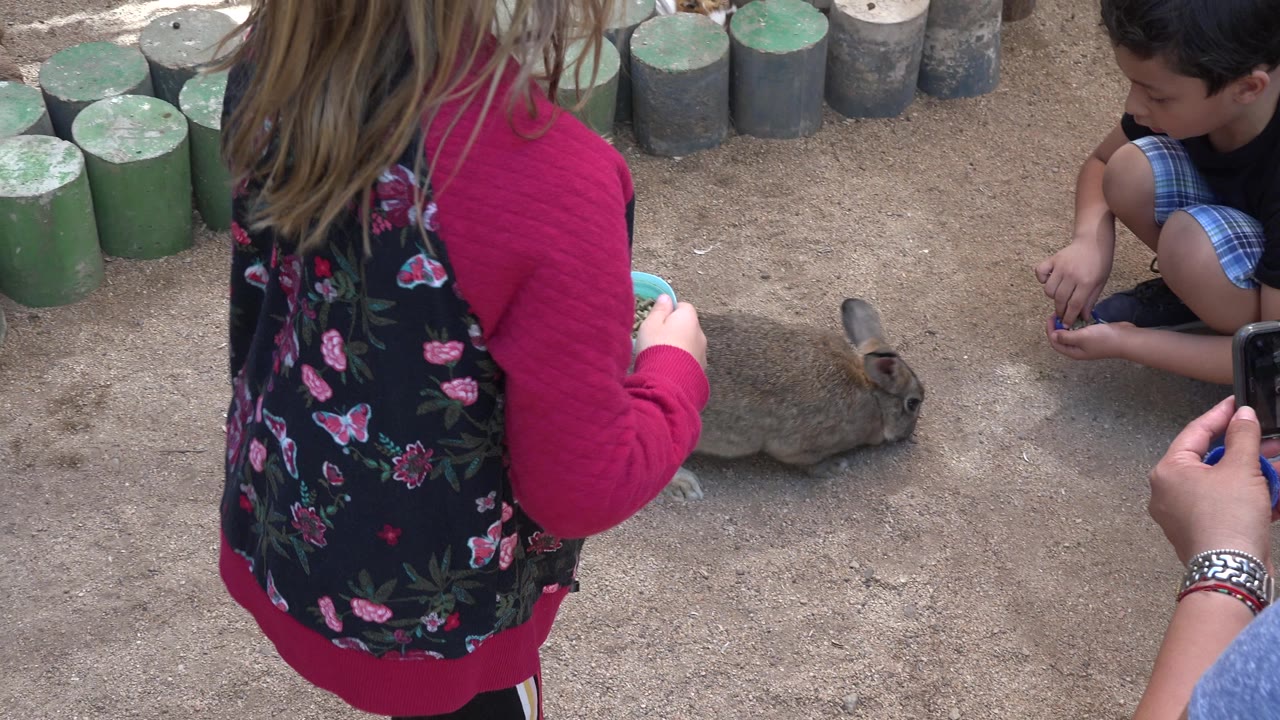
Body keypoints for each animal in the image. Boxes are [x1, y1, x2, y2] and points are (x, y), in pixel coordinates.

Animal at [665, 298, 924, 500]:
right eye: (913, 403)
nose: (908, 434)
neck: (871, 392)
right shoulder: (802, 446)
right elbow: (808, 463)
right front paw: (835, 466)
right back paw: (686, 486)